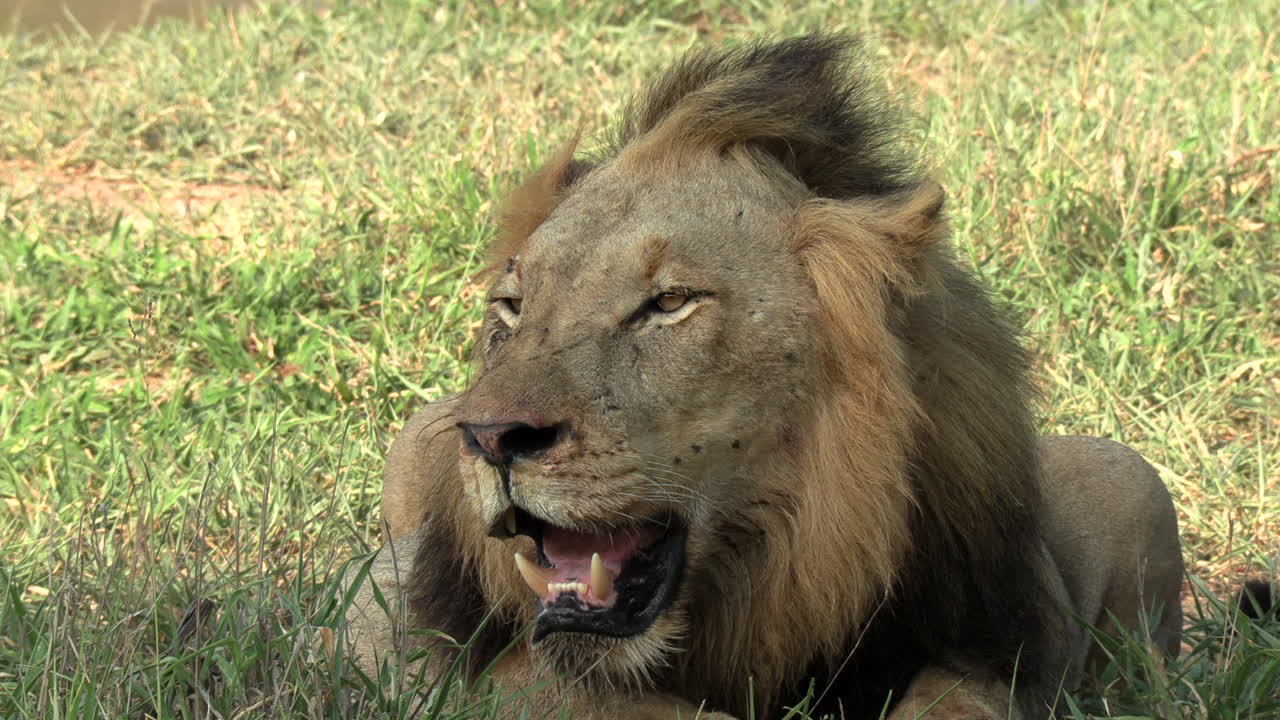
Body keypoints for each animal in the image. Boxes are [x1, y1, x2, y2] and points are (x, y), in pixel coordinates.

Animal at [344, 35, 1186, 719]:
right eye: (513, 307)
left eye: (669, 303)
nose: (489, 438)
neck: (780, 558)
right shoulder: (415, 624)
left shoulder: (995, 632)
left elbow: (961, 701)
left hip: (1132, 478)